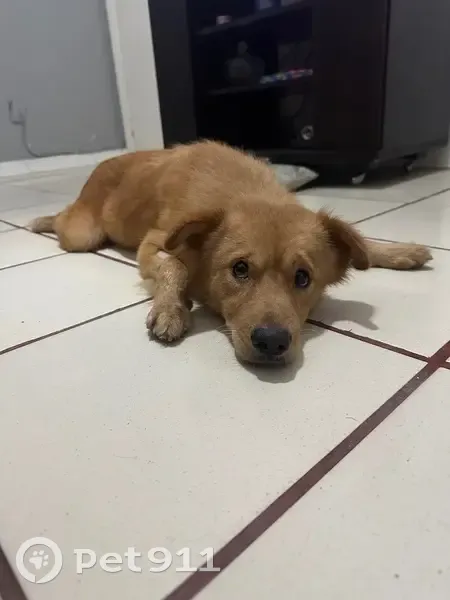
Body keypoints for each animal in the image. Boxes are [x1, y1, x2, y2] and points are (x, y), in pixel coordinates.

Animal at [30, 141, 431, 365]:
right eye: (239, 269)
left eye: (303, 278)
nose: (272, 342)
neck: (245, 190)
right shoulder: (153, 244)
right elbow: (174, 267)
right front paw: (171, 309)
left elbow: (361, 242)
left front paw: (399, 251)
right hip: (83, 234)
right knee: (63, 220)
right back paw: (40, 220)